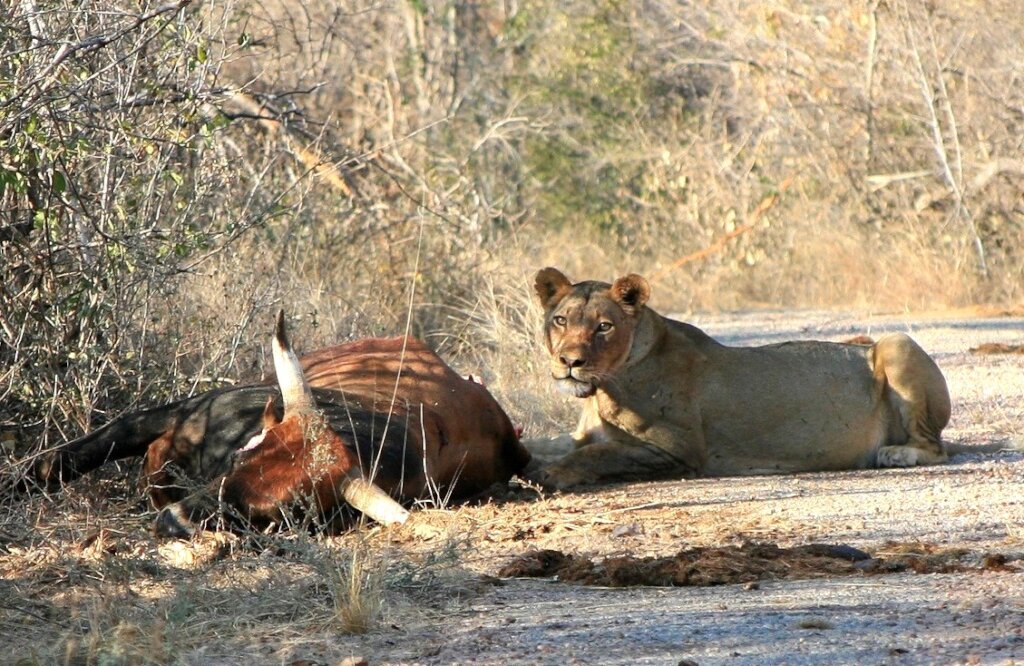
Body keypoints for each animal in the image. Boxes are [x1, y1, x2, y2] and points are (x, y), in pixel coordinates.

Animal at [529, 267, 955, 489]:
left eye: (604, 326)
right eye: (561, 320)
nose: (570, 361)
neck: (602, 389)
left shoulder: (678, 450)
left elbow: (598, 452)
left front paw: (549, 473)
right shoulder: (582, 434)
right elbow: (554, 443)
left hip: (897, 343)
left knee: (936, 448)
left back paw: (896, 453)